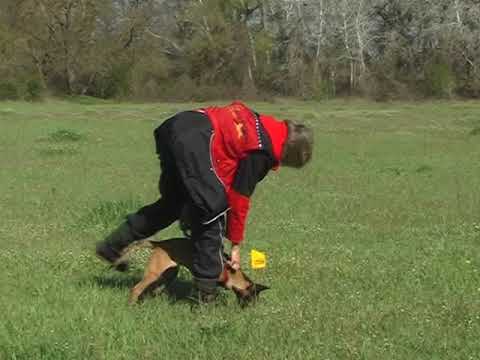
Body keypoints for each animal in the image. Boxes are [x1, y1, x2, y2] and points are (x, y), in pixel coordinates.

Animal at [122, 236, 268, 306]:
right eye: (251, 298)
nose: (251, 310)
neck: (231, 272)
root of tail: (160, 243)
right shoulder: (203, 279)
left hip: (168, 274)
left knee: (155, 289)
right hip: (154, 273)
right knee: (136, 289)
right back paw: (131, 306)